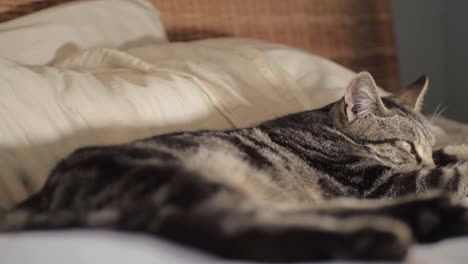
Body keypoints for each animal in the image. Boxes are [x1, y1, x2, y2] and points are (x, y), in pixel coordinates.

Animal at [0, 72, 468, 262]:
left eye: (426, 146)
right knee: (235, 228)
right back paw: (381, 236)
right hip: (176, 181)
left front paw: (456, 147)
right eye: (406, 147)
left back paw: (429, 217)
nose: (426, 155)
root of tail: (37, 198)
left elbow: (452, 158)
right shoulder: (380, 183)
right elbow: (450, 176)